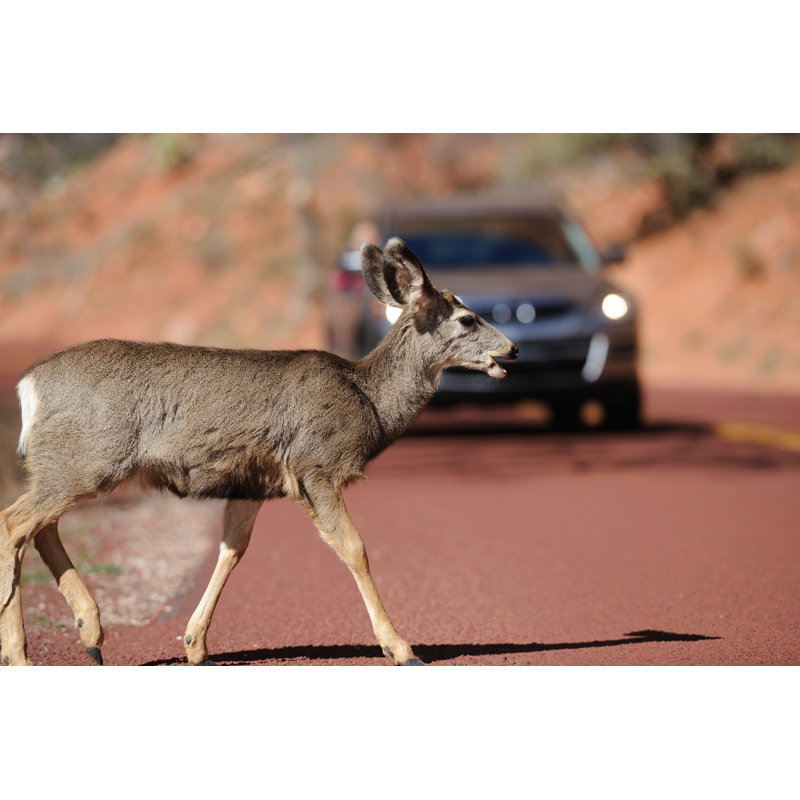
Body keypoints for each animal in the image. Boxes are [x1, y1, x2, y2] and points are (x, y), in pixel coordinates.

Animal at [0, 238, 518, 666]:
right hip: (87, 460)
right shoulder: (313, 464)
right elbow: (355, 548)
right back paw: (22, 656)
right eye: (467, 319)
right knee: (14, 523)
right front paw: (402, 648)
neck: (368, 399)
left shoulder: (253, 482)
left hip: (68, 465)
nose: (512, 349)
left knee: (40, 527)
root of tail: (28, 385)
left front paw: (196, 645)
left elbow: (232, 550)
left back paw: (90, 631)